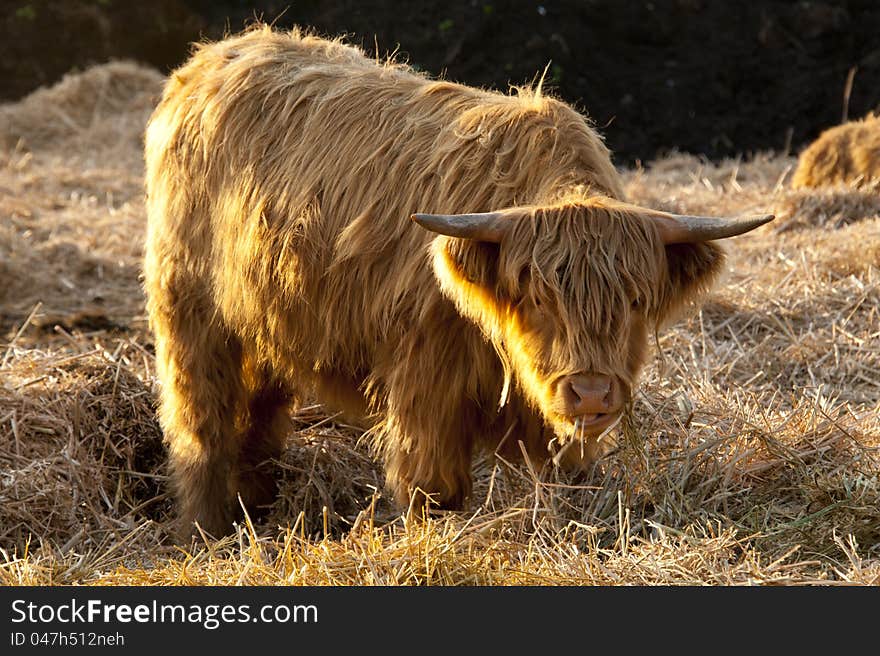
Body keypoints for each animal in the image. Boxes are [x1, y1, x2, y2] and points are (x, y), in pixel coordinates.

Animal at [143, 28, 768, 536]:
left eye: (635, 301)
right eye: (537, 298)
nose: (591, 394)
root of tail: (212, 59)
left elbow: (569, 483)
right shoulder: (427, 387)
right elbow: (432, 490)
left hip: (270, 323)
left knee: (260, 421)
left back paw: (255, 511)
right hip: (189, 314)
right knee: (200, 425)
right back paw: (205, 533)